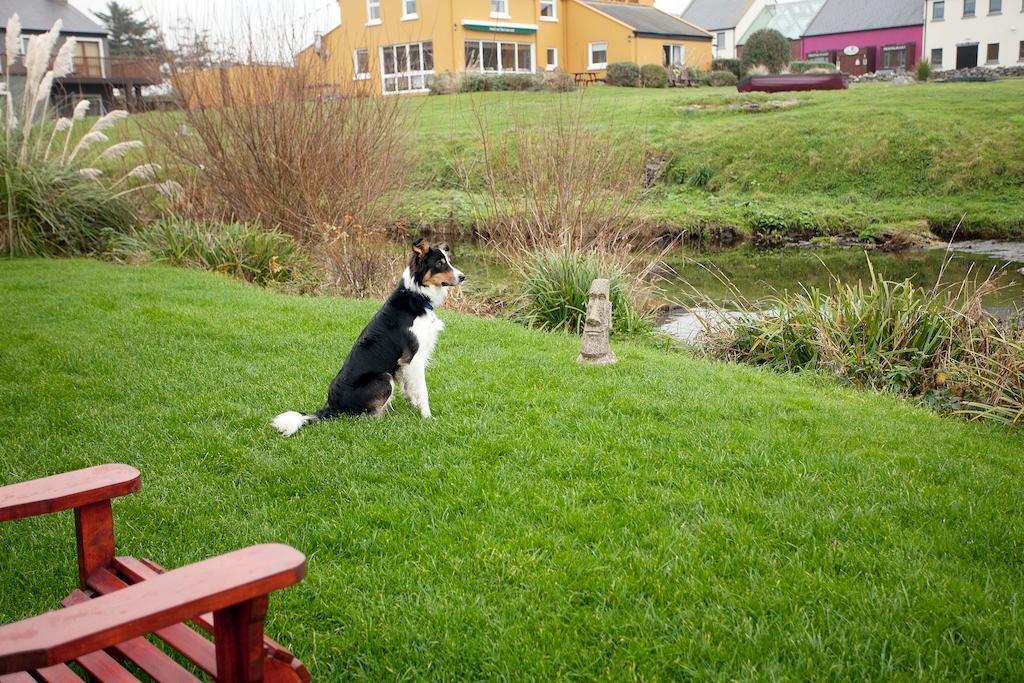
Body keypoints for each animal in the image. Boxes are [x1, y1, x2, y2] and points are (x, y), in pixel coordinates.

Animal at [272, 237, 464, 436]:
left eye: (448, 261)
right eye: (440, 264)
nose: (463, 277)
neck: (417, 296)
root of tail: (333, 407)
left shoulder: (406, 363)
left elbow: (410, 389)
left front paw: (414, 406)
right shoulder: (413, 358)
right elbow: (422, 390)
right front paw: (427, 416)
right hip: (384, 378)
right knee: (369, 417)